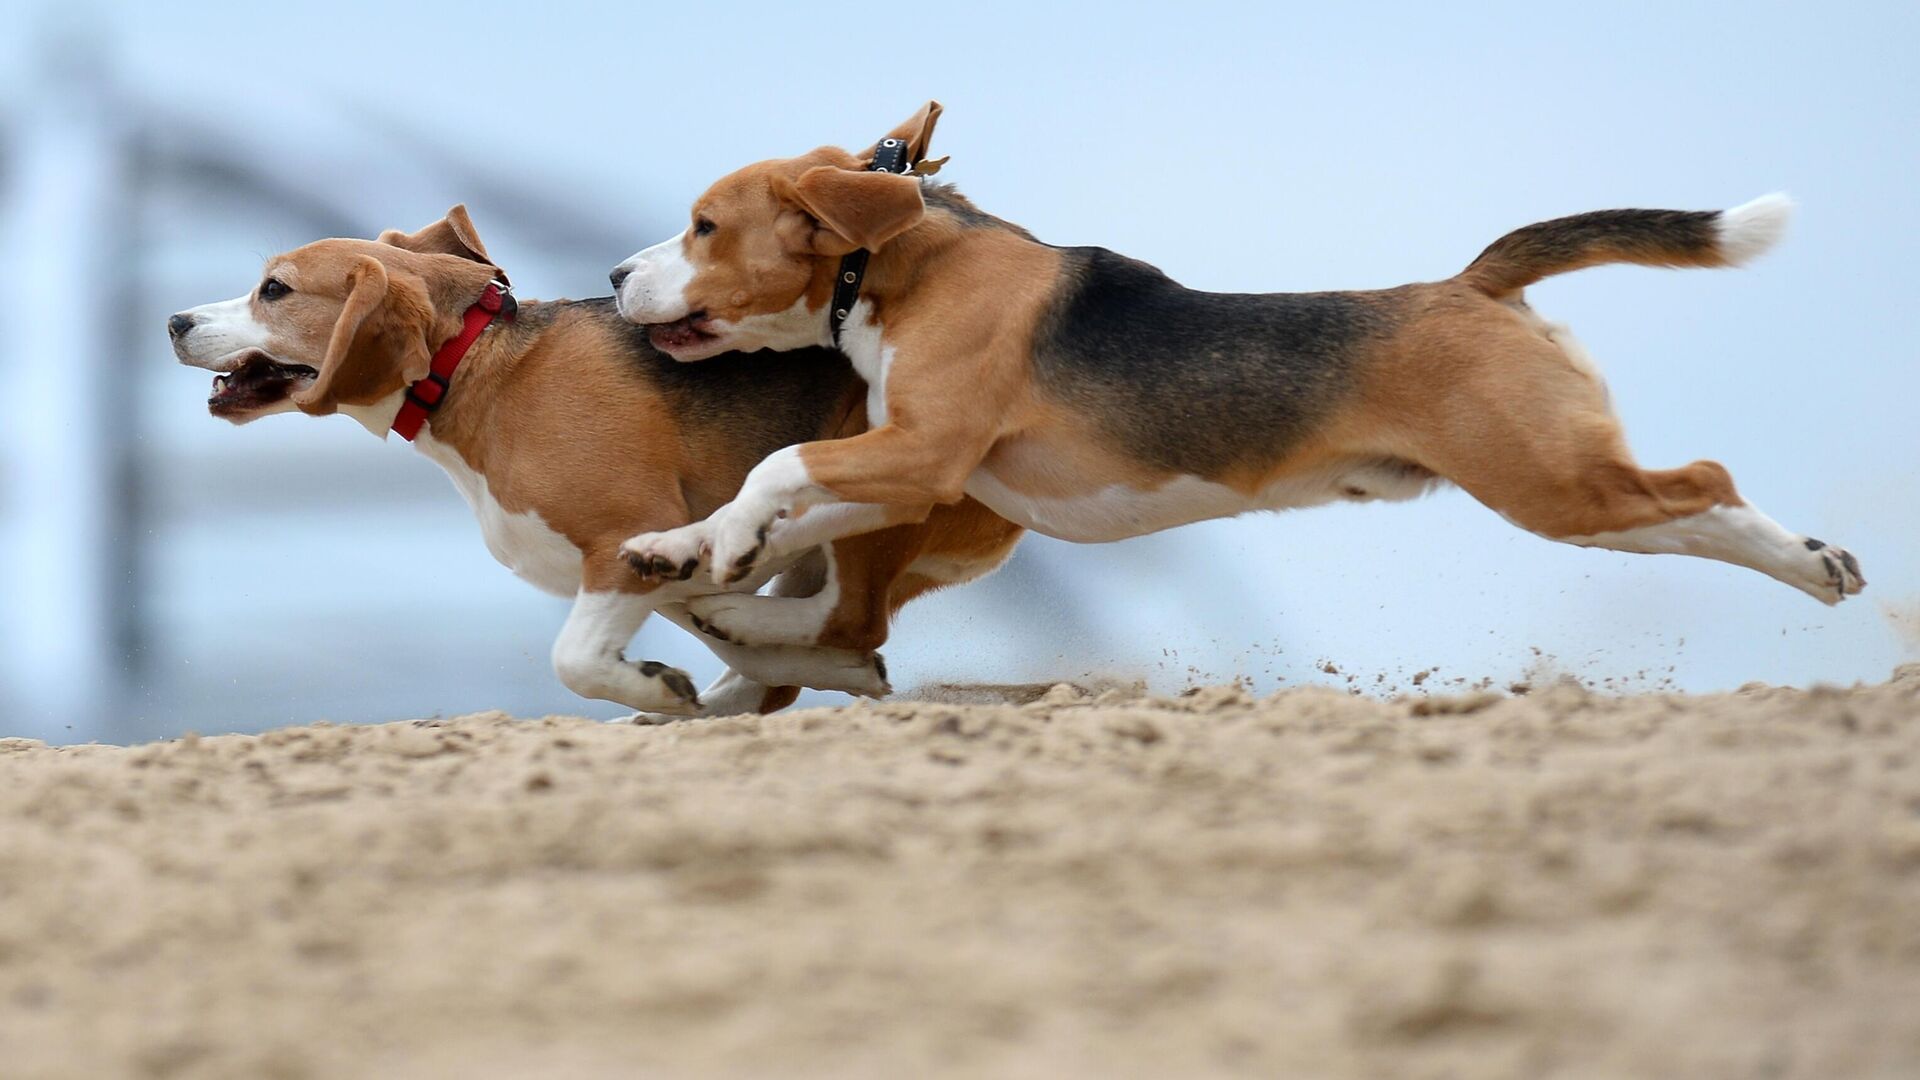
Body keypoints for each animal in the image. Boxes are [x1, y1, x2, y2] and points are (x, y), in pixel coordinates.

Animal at [172, 206, 1029, 718]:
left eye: (274, 290)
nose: (175, 319)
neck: (473, 364)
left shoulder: (623, 538)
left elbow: (575, 659)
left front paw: (662, 688)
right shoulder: (652, 553)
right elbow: (725, 629)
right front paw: (708, 681)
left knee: (855, 615)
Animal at [610, 104, 1858, 611]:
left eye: (704, 228)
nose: (617, 277)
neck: (896, 262)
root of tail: (1470, 282)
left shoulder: (922, 455)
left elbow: (775, 471)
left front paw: (721, 537)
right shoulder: (913, 476)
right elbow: (780, 510)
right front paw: (687, 546)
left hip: (1549, 478)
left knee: (1704, 483)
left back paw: (1815, 563)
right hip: (1572, 485)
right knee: (1691, 512)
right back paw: (1812, 562)